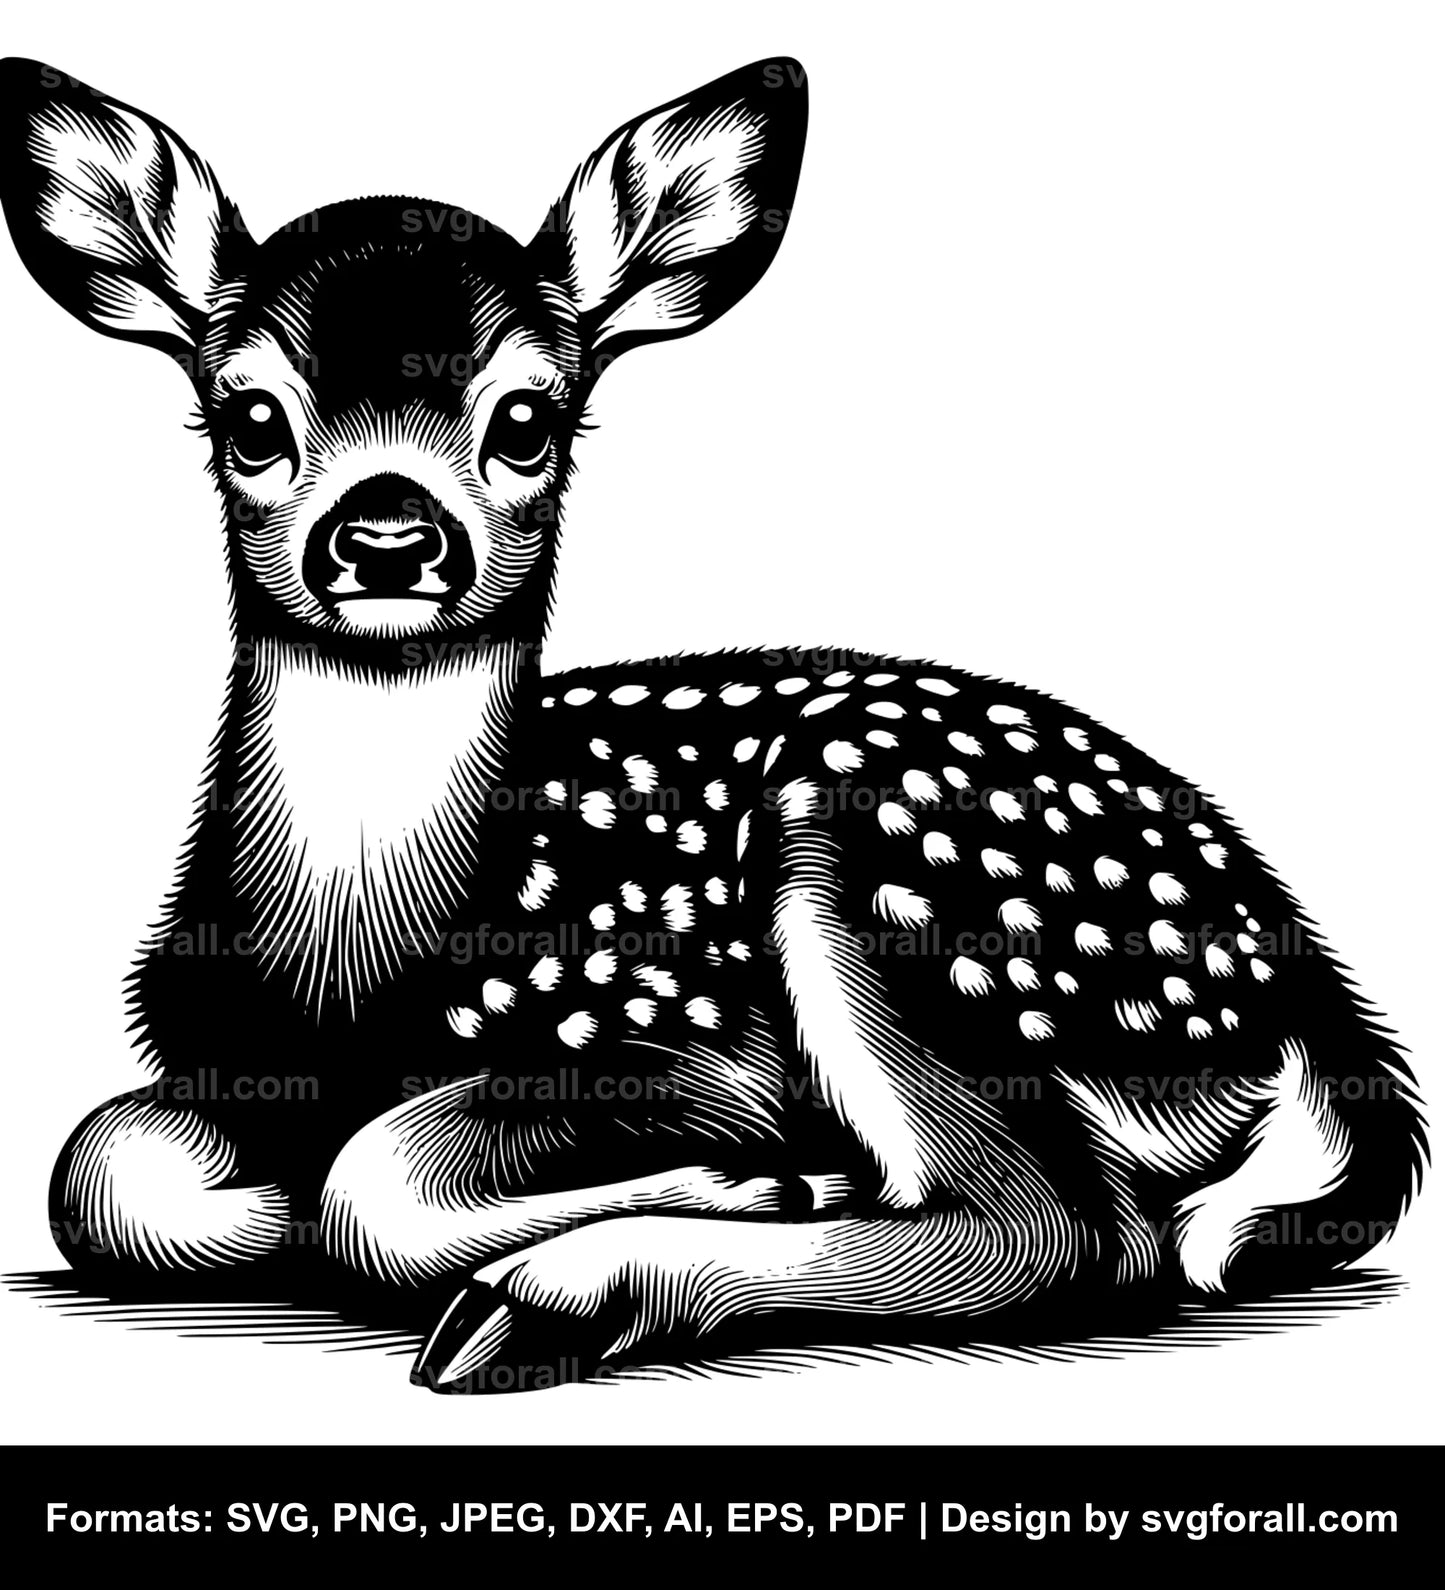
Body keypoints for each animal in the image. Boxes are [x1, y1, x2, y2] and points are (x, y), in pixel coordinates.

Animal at [0, 54, 1425, 1394]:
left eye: (528, 417)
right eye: (249, 415)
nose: (390, 536)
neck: (360, 987)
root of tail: (1300, 979)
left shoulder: (682, 1030)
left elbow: (371, 1176)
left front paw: (736, 1178)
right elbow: (104, 1169)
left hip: (886, 862)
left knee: (1058, 1229)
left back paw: (562, 1294)